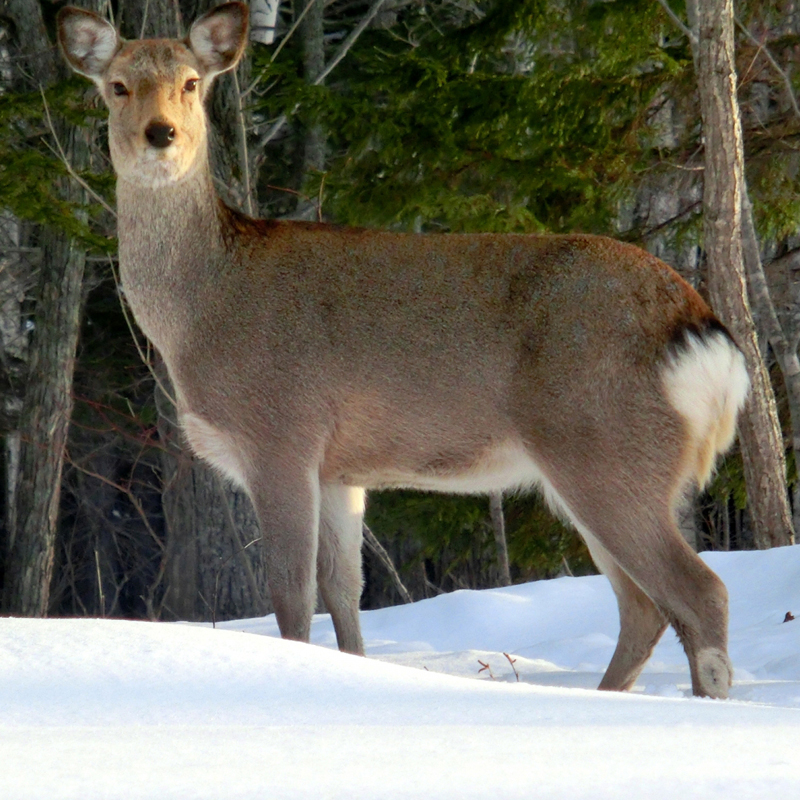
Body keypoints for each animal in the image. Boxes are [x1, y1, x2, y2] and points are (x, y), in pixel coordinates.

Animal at [57, 3, 752, 696]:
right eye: (117, 85)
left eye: (192, 82)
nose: (161, 133)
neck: (203, 309)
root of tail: (701, 329)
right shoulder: (339, 470)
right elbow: (345, 594)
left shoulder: (281, 433)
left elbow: (291, 597)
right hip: (607, 466)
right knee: (643, 608)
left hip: (604, 445)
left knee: (701, 591)